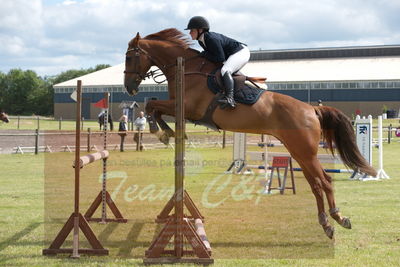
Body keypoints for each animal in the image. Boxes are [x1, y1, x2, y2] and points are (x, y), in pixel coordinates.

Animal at [123, 28, 376, 240]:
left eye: (129, 57)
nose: (129, 88)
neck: (187, 70)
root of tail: (311, 109)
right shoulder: (180, 108)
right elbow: (153, 106)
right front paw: (166, 132)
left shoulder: (187, 108)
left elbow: (151, 105)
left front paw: (160, 132)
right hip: (300, 153)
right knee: (316, 184)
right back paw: (327, 223)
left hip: (305, 152)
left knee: (325, 181)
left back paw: (338, 218)